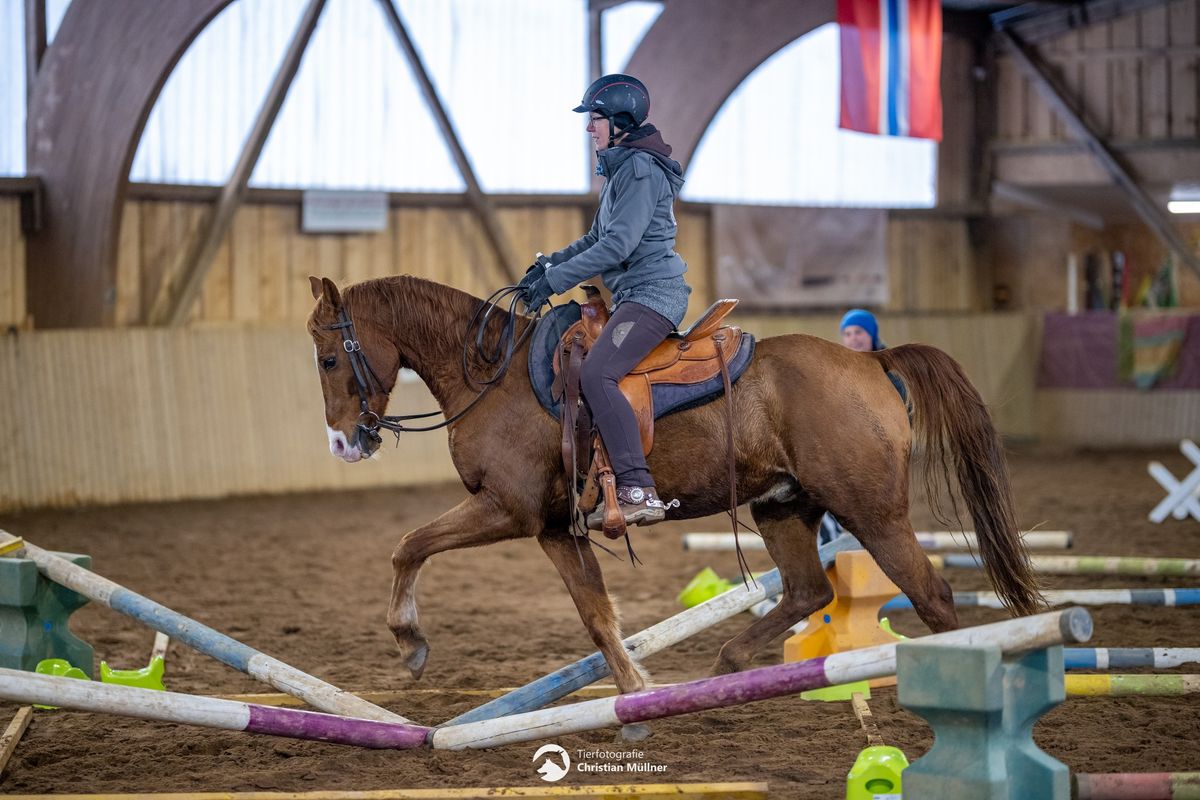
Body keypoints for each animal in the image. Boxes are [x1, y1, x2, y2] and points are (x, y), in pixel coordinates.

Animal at [307, 275, 1041, 700]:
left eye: (327, 357)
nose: (342, 443)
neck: (495, 375)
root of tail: (871, 363)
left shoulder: (506, 510)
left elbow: (408, 545)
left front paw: (410, 642)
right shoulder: (554, 528)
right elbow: (596, 614)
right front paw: (636, 687)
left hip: (873, 512)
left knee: (932, 596)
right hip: (783, 507)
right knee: (810, 591)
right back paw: (725, 665)